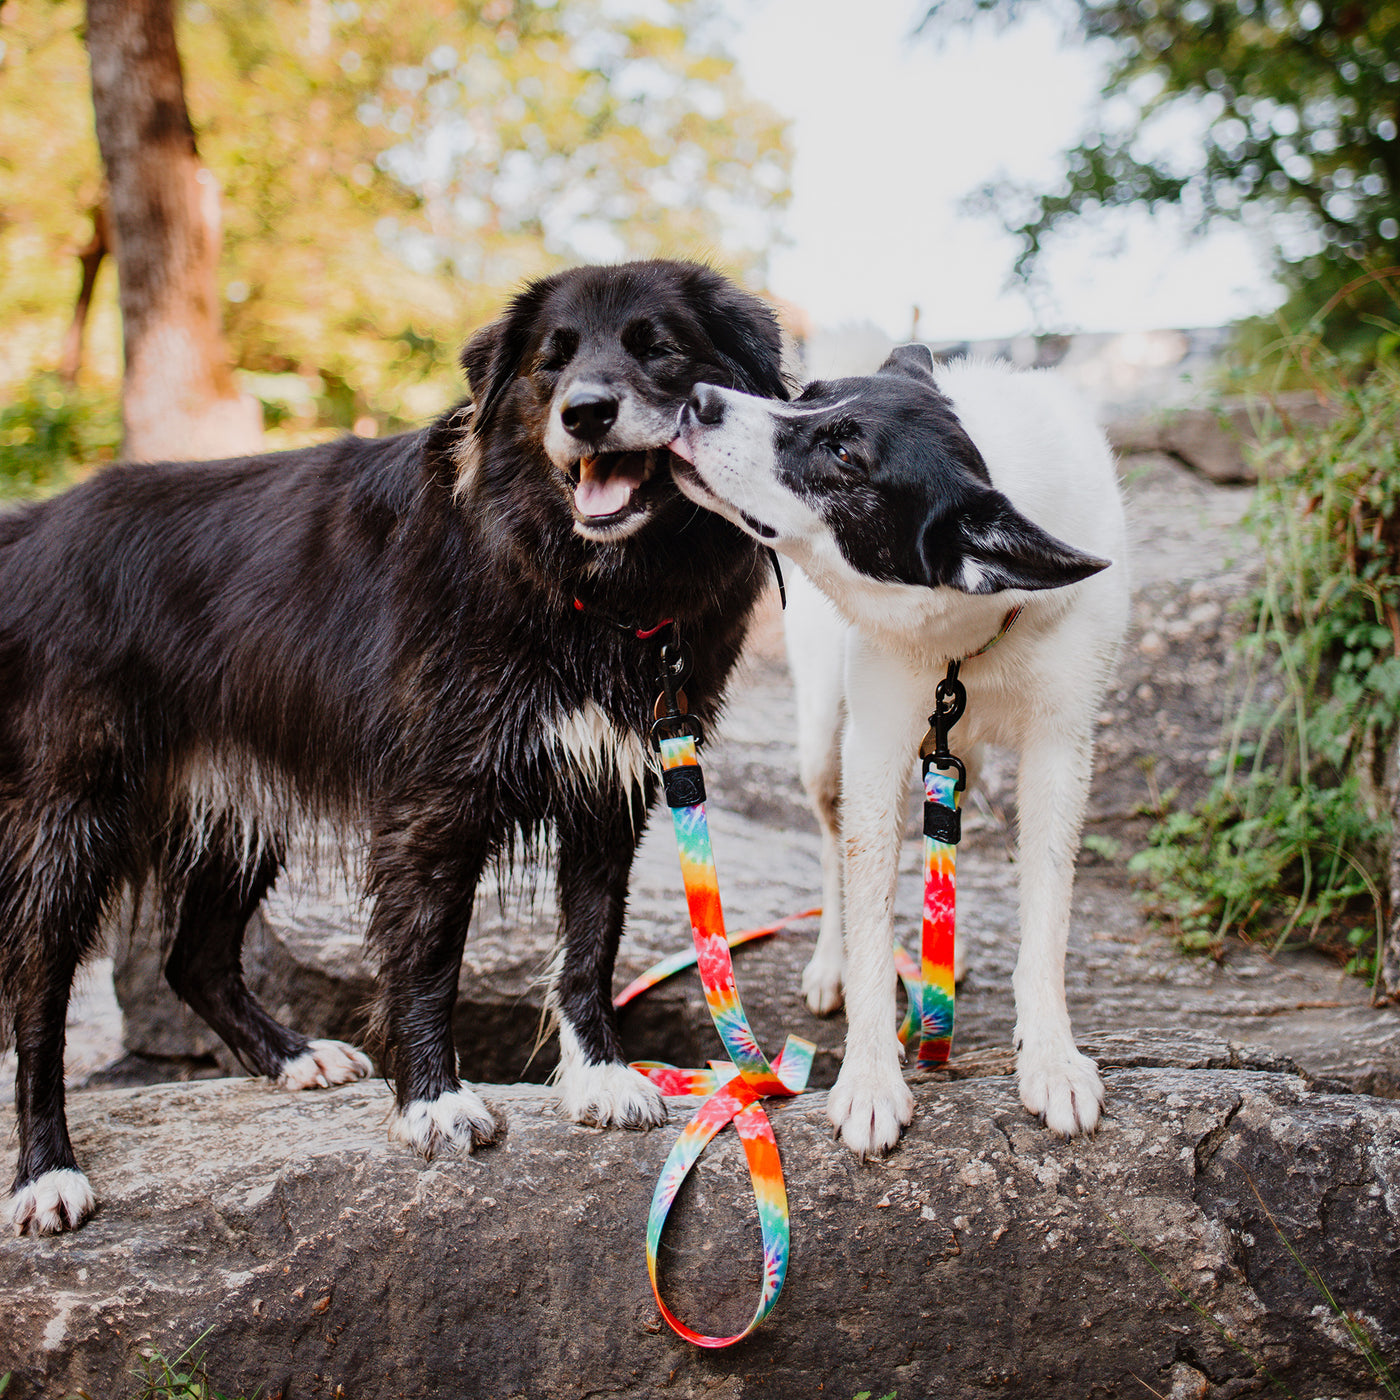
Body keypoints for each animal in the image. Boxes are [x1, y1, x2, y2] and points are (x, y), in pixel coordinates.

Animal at [666, 350, 1125, 1159]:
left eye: (847, 457)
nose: (697, 398)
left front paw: (1051, 1058)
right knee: (832, 846)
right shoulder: (874, 744)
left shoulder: (1061, 750)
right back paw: (831, 962)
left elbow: (1047, 914)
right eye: (803, 396)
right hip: (823, 745)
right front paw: (871, 1078)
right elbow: (870, 916)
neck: (974, 628)